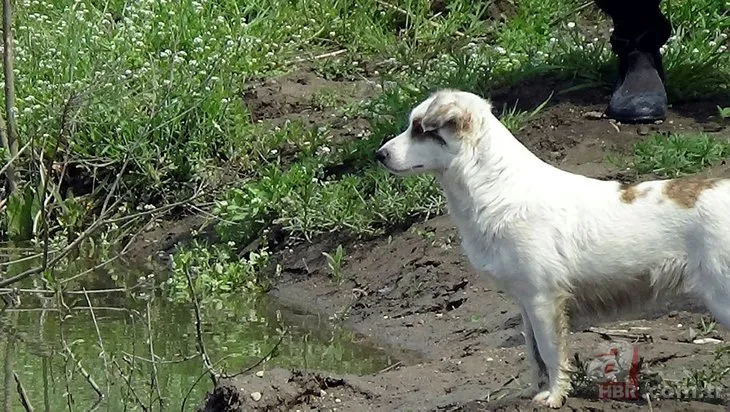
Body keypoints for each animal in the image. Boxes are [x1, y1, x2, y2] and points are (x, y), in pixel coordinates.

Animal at [376, 88, 728, 408]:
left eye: (420, 129)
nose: (379, 155)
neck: (497, 187)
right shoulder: (526, 303)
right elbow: (534, 355)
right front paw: (536, 390)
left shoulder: (543, 299)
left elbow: (549, 352)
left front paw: (555, 396)